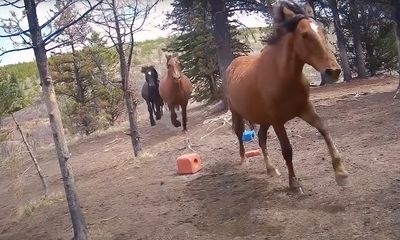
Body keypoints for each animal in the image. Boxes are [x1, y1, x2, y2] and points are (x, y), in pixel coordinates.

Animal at [227, 0, 348, 191]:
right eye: (304, 35)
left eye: (323, 31)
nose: (333, 71)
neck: (283, 76)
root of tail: (232, 64)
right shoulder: (278, 121)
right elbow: (287, 149)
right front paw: (294, 183)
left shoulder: (304, 109)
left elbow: (324, 128)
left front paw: (341, 173)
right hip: (238, 113)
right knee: (239, 135)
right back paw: (244, 160)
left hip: (264, 119)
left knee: (261, 139)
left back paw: (271, 169)